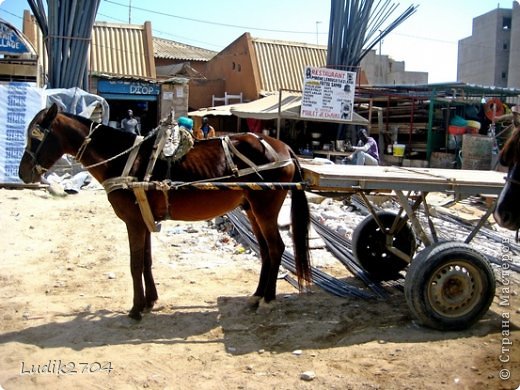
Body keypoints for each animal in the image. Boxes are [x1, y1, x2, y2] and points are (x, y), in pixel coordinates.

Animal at [19, 104, 312, 320]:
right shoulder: (144, 219)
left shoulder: (133, 222)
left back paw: (269, 299)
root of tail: (284, 149)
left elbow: (135, 263)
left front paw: (136, 309)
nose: (22, 173)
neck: (124, 159)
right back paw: (257, 295)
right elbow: (146, 261)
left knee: (276, 248)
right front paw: (150, 301)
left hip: (264, 209)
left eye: (35, 135)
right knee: (265, 251)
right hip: (251, 209)